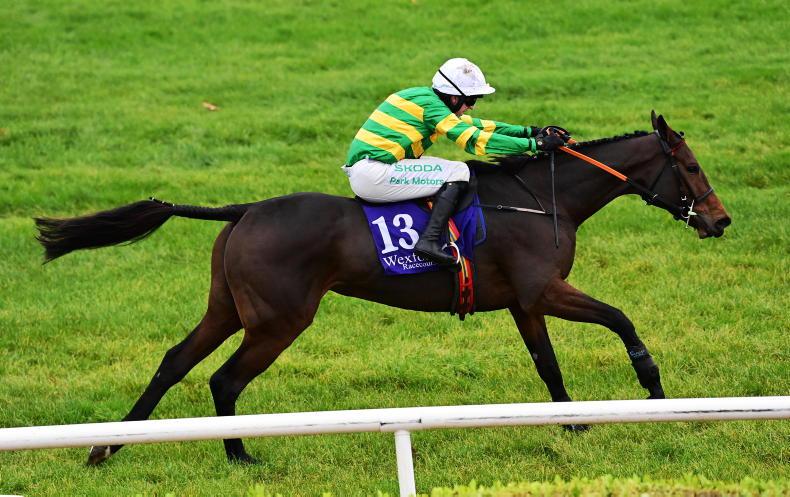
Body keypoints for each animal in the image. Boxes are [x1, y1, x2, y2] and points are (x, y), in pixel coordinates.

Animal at [34, 112, 731, 465]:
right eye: (692, 167)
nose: (720, 220)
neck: (540, 200)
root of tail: (244, 209)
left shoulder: (524, 301)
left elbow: (547, 364)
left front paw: (573, 425)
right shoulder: (546, 291)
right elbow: (621, 318)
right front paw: (653, 388)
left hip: (228, 307)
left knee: (175, 361)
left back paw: (104, 448)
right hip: (279, 319)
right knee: (224, 379)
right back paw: (239, 456)